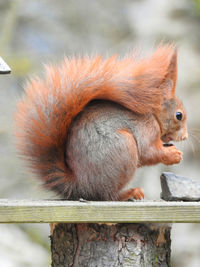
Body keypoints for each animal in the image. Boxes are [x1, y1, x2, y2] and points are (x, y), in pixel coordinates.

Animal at [15, 45, 188, 201]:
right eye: (178, 115)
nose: (185, 137)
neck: (153, 115)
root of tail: (79, 185)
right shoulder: (146, 129)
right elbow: (148, 152)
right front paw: (174, 154)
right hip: (124, 149)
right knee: (107, 195)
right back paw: (129, 193)